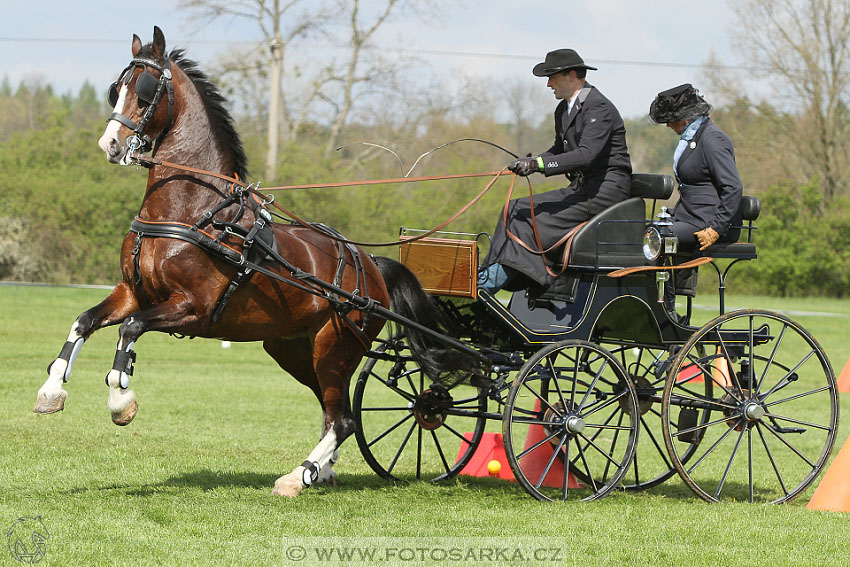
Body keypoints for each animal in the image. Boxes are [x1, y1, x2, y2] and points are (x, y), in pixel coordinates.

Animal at [33, 26, 468, 496]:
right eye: (116, 89)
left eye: (146, 91)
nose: (110, 145)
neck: (194, 212)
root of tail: (370, 265)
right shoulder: (134, 292)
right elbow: (84, 321)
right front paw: (51, 391)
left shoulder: (191, 308)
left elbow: (129, 331)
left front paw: (120, 401)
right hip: (294, 350)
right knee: (335, 414)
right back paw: (321, 471)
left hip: (333, 350)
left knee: (344, 419)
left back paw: (297, 476)